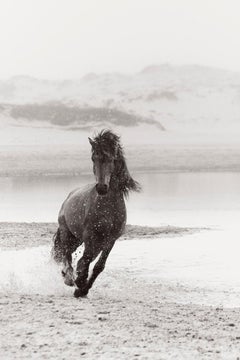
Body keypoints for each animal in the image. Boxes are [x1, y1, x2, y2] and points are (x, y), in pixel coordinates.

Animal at [51, 130, 140, 298]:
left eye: (111, 159)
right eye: (94, 158)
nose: (101, 188)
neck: (108, 206)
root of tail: (68, 198)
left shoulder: (111, 239)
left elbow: (99, 265)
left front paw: (83, 288)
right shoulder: (89, 235)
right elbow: (85, 259)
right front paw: (79, 283)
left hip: (82, 240)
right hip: (68, 233)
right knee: (67, 254)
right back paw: (69, 278)